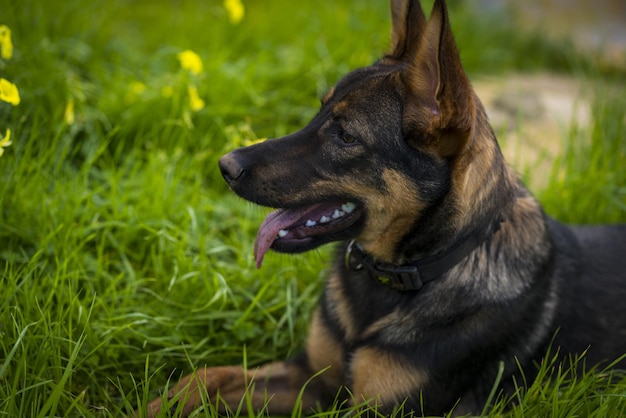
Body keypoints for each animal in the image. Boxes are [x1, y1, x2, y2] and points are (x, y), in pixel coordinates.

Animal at [141, 1, 624, 416]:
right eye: (319, 113)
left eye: (346, 136)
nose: (225, 166)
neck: (404, 274)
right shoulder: (309, 378)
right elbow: (206, 378)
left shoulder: (375, 408)